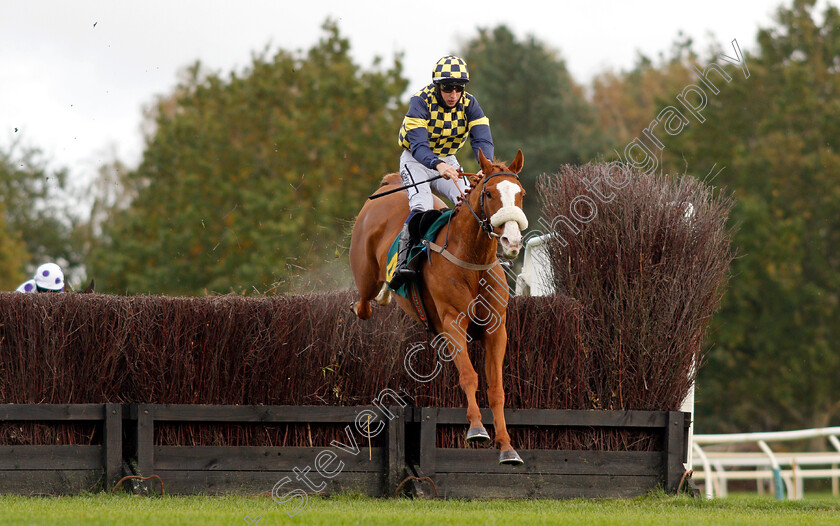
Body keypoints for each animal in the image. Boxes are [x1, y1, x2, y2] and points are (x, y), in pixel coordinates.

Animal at [348, 150, 524, 466]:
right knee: (365, 304)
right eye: (489, 193)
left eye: (521, 194)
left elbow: (497, 388)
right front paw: (476, 429)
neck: (473, 261)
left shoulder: (496, 329)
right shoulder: (452, 322)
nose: (512, 240)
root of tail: (391, 182)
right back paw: (381, 293)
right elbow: (469, 375)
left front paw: (506, 446)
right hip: (365, 273)